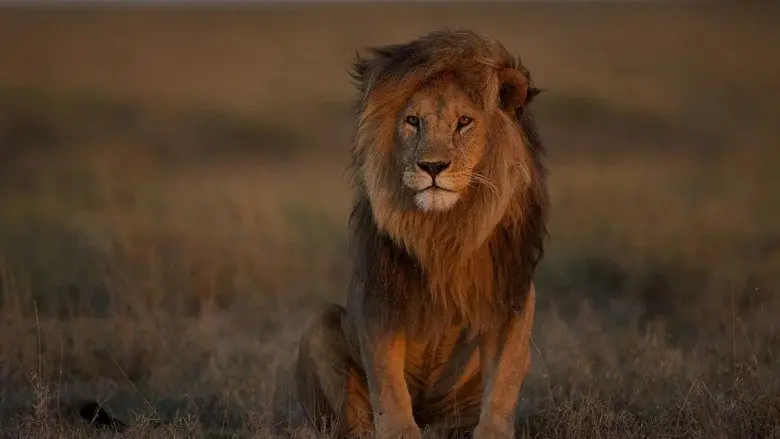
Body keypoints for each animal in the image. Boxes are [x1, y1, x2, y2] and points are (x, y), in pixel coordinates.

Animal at [295, 29, 549, 439]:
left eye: (464, 122)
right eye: (413, 121)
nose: (432, 166)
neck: (442, 230)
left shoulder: (510, 295)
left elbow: (505, 379)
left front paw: (493, 432)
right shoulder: (378, 295)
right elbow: (388, 382)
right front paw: (399, 431)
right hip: (320, 323)